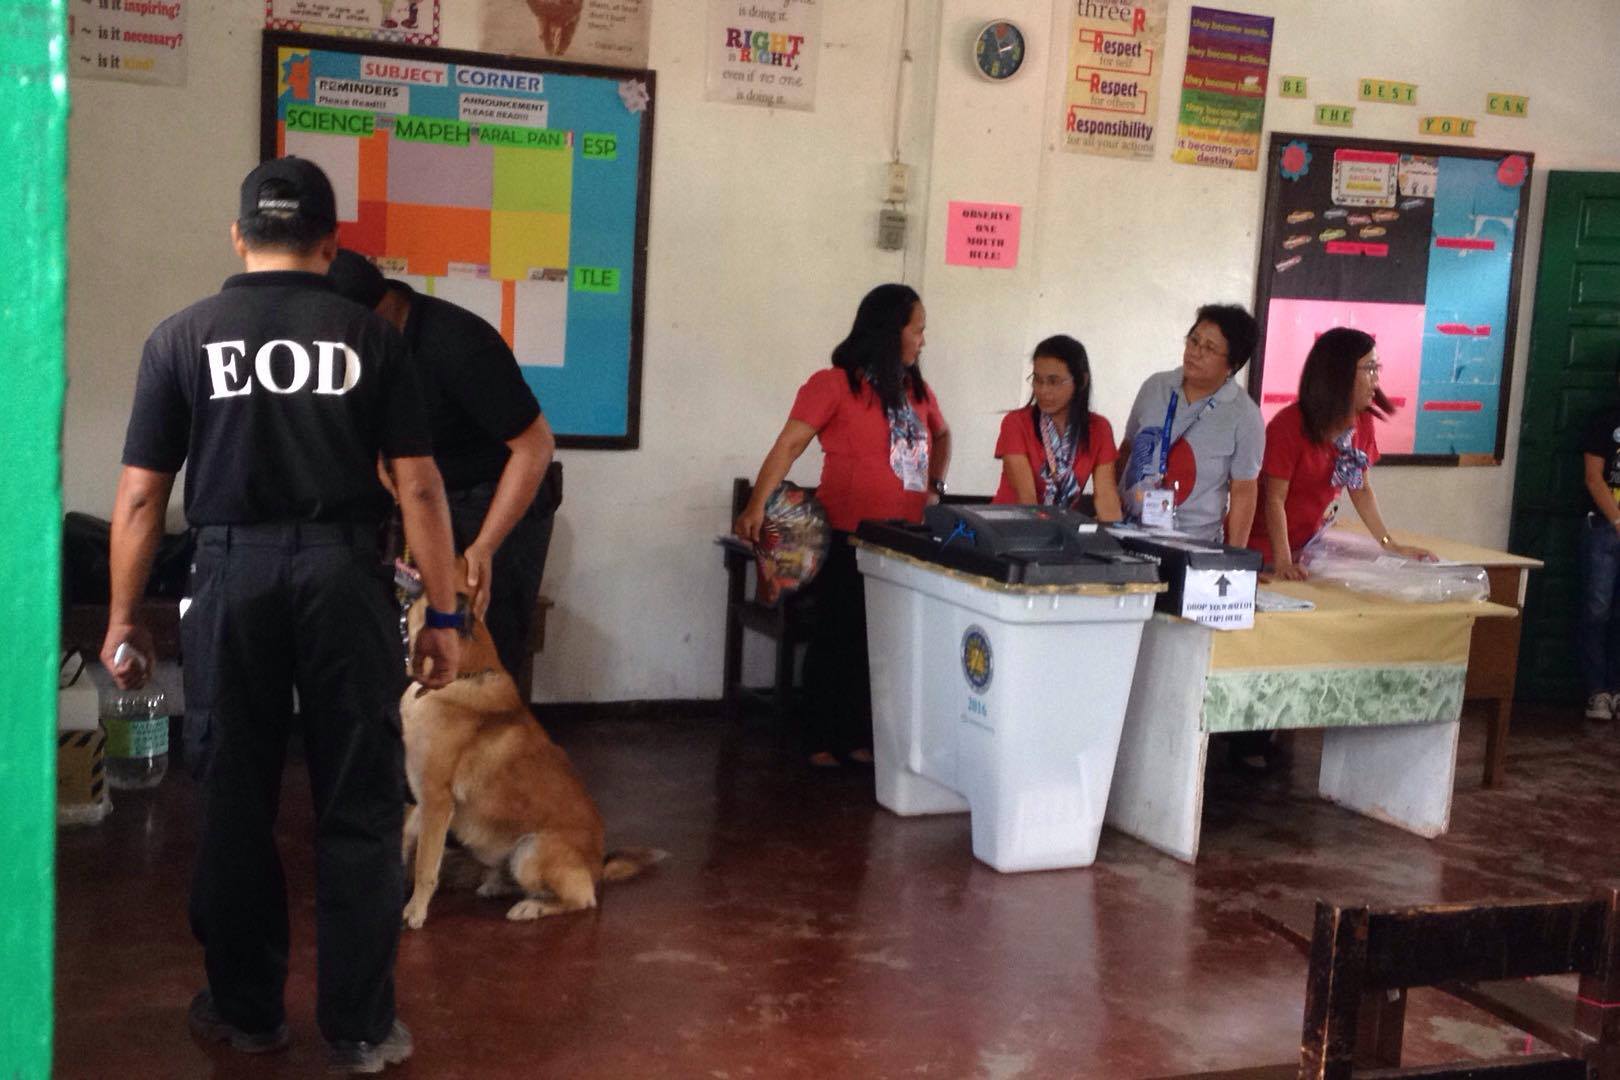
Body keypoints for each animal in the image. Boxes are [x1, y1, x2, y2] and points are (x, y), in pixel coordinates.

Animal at [401, 582, 660, 932]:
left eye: (428, 595)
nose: (413, 578)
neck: (461, 677)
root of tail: (597, 868)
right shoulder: (423, 801)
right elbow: (405, 840)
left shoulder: (436, 802)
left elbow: (425, 866)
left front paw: (414, 910)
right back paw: (498, 884)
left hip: (530, 851)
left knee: (583, 899)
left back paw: (532, 907)